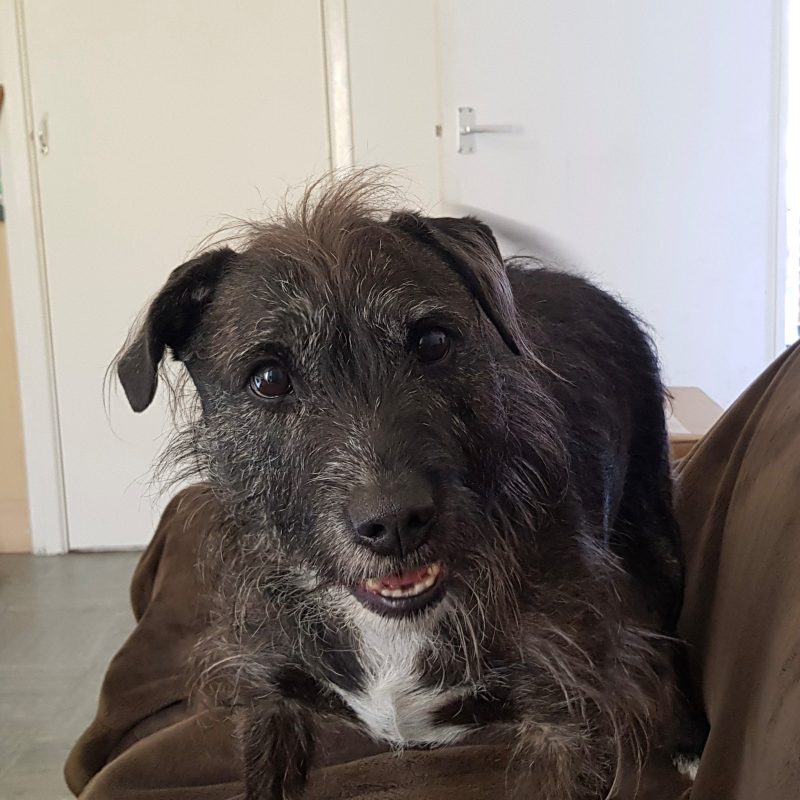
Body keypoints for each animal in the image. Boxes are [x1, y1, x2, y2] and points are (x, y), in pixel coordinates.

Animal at [115, 177, 692, 800]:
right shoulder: (269, 702)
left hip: (656, 536)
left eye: (433, 342)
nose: (395, 523)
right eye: (268, 379)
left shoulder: (569, 725)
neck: (390, 628)